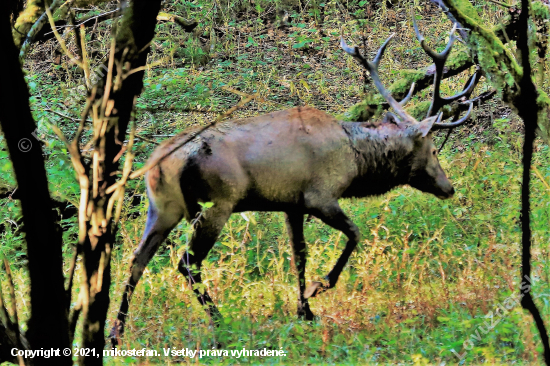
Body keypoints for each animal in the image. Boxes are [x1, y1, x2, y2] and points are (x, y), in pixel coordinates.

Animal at [111, 22, 474, 344]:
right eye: (432, 150)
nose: (449, 187)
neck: (355, 161)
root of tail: (160, 163)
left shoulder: (292, 204)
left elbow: (299, 255)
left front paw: (305, 311)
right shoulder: (320, 196)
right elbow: (354, 234)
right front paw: (318, 288)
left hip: (161, 207)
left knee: (136, 260)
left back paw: (117, 333)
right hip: (216, 204)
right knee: (187, 263)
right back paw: (220, 323)